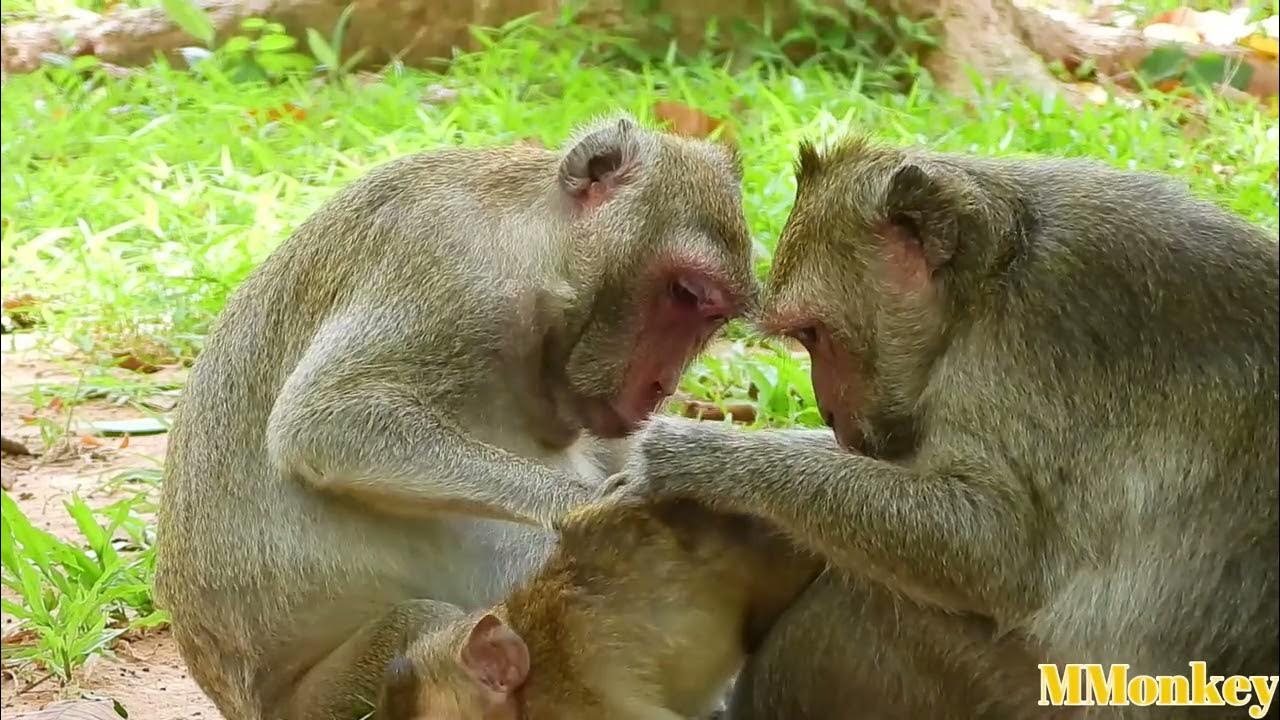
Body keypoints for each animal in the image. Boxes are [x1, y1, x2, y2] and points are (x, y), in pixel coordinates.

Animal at [151, 114, 758, 720]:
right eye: (684, 293)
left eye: (713, 316)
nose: (663, 386)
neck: (527, 243)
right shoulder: (453, 275)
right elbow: (325, 419)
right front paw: (593, 502)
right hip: (317, 703)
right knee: (428, 621)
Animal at [608, 137, 1280, 719]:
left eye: (813, 335)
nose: (828, 410)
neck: (987, 282)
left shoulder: (1025, 355)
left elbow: (995, 545)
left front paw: (691, 457)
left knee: (868, 602)